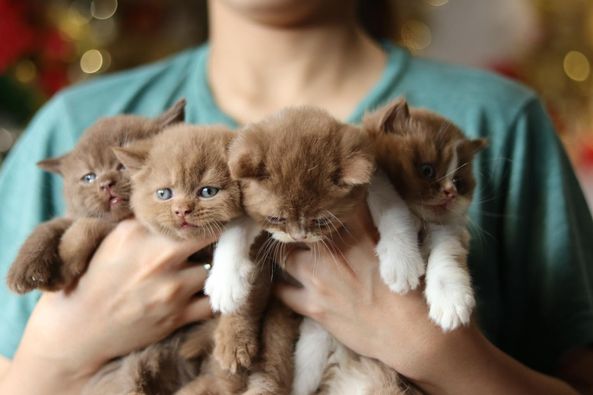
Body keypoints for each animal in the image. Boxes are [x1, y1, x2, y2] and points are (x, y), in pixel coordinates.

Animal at [5, 99, 184, 294]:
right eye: (89, 177)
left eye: (123, 165)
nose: (105, 184)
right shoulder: (74, 215)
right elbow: (49, 226)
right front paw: (24, 269)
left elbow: (89, 226)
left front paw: (63, 266)